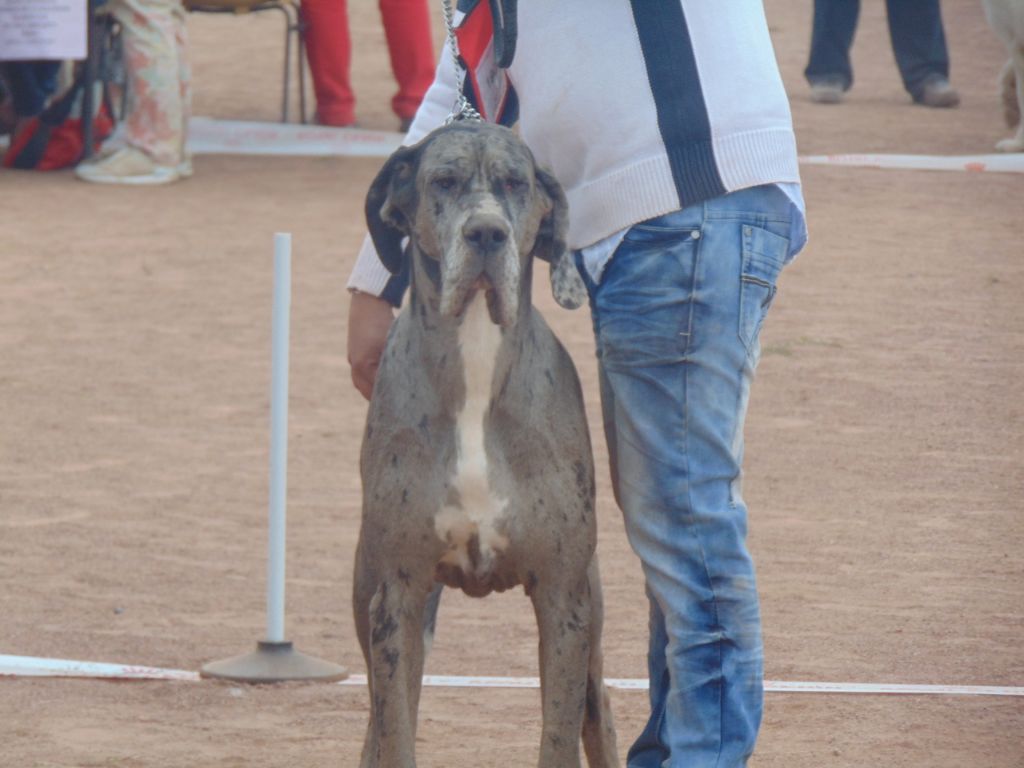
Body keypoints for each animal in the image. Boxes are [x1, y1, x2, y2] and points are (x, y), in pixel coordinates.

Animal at [354, 121, 614, 768]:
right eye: (443, 181)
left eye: (515, 183)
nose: (487, 233)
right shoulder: (396, 599)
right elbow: (395, 734)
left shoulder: (564, 602)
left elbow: (557, 738)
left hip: (594, 622)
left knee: (598, 716)